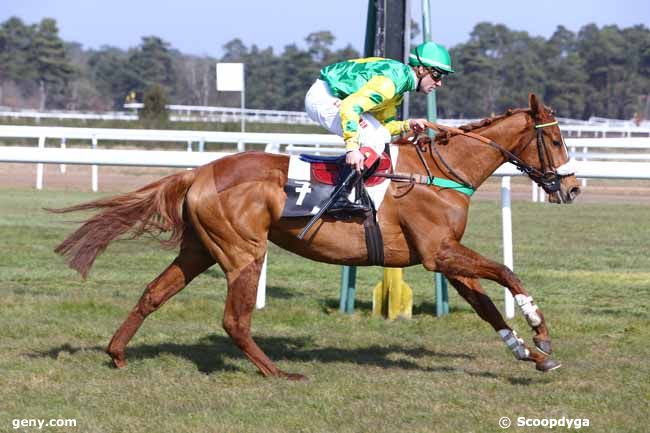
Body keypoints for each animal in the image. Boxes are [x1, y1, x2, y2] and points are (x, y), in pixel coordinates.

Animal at [50, 94, 576, 378]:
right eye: (553, 139)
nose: (570, 188)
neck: (442, 172)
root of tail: (198, 172)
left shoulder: (446, 255)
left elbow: (487, 304)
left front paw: (529, 353)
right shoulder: (439, 253)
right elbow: (507, 272)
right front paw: (540, 330)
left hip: (200, 249)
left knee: (154, 293)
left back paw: (118, 353)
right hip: (243, 251)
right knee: (235, 320)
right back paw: (276, 372)